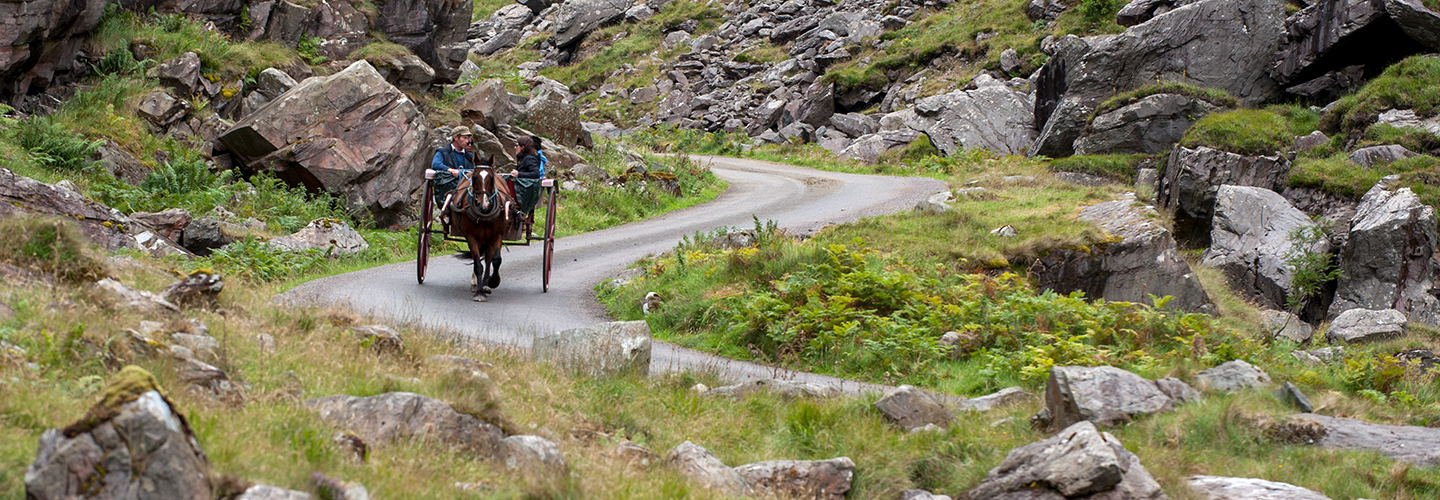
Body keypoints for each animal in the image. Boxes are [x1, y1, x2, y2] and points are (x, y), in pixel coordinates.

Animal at [455, 167, 518, 301]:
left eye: (491, 178)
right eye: (474, 178)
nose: (484, 204)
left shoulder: (497, 235)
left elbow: (496, 260)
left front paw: (493, 281)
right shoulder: (471, 237)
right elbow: (478, 264)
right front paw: (479, 293)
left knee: (489, 258)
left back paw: (485, 284)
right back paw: (477, 285)